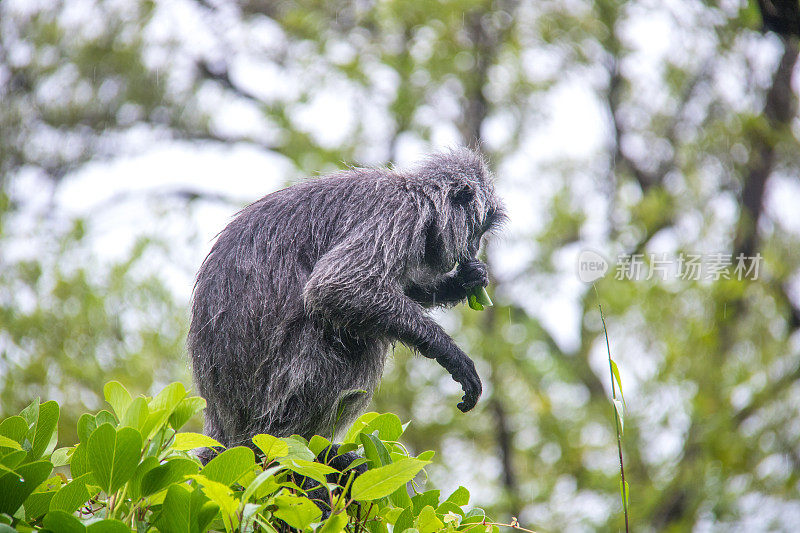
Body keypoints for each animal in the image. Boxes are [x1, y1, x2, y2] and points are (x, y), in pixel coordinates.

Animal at [188, 147, 506, 458]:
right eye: (476, 230)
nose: (475, 247)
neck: (417, 196)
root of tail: (224, 427)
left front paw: (467, 279)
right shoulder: (397, 213)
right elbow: (338, 287)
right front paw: (452, 356)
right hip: (285, 383)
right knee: (362, 339)